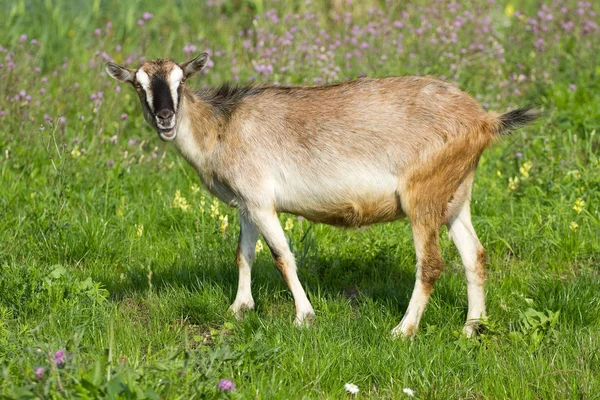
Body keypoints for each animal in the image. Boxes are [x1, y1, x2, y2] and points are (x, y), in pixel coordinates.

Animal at [106, 51, 540, 336]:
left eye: (181, 81)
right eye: (138, 86)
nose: (165, 118)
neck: (222, 126)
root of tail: (483, 119)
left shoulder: (261, 201)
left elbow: (282, 257)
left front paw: (304, 317)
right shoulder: (247, 204)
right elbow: (244, 254)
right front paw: (239, 308)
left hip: (422, 196)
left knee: (432, 264)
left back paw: (403, 330)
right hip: (455, 198)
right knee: (474, 256)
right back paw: (472, 327)